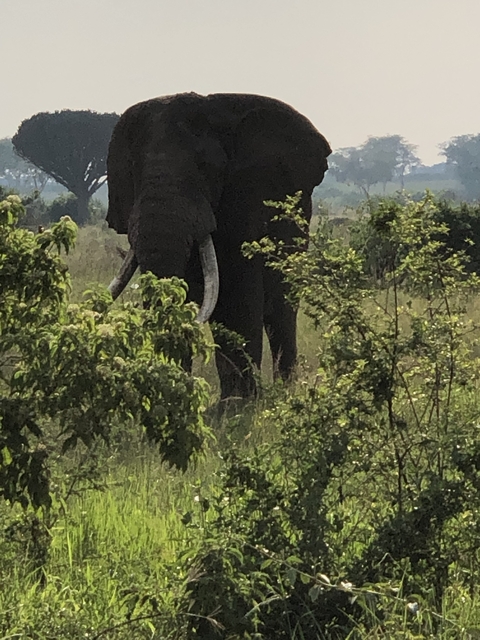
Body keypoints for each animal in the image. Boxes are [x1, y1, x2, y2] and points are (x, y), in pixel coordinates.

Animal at [106, 92, 331, 398]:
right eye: (132, 170)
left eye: (207, 170)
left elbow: (236, 296)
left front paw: (238, 404)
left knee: (281, 311)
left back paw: (286, 392)